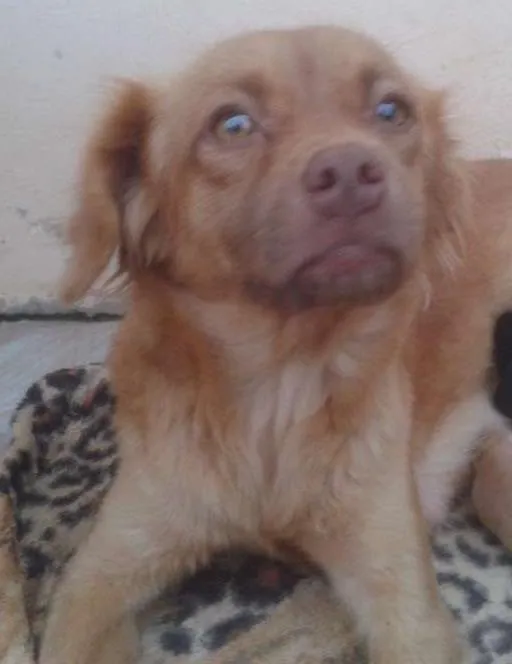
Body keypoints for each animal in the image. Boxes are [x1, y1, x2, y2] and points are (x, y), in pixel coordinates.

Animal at [39, 25, 512, 664]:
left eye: (391, 111)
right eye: (233, 124)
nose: (351, 170)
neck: (279, 386)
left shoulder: (402, 594)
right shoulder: (102, 575)